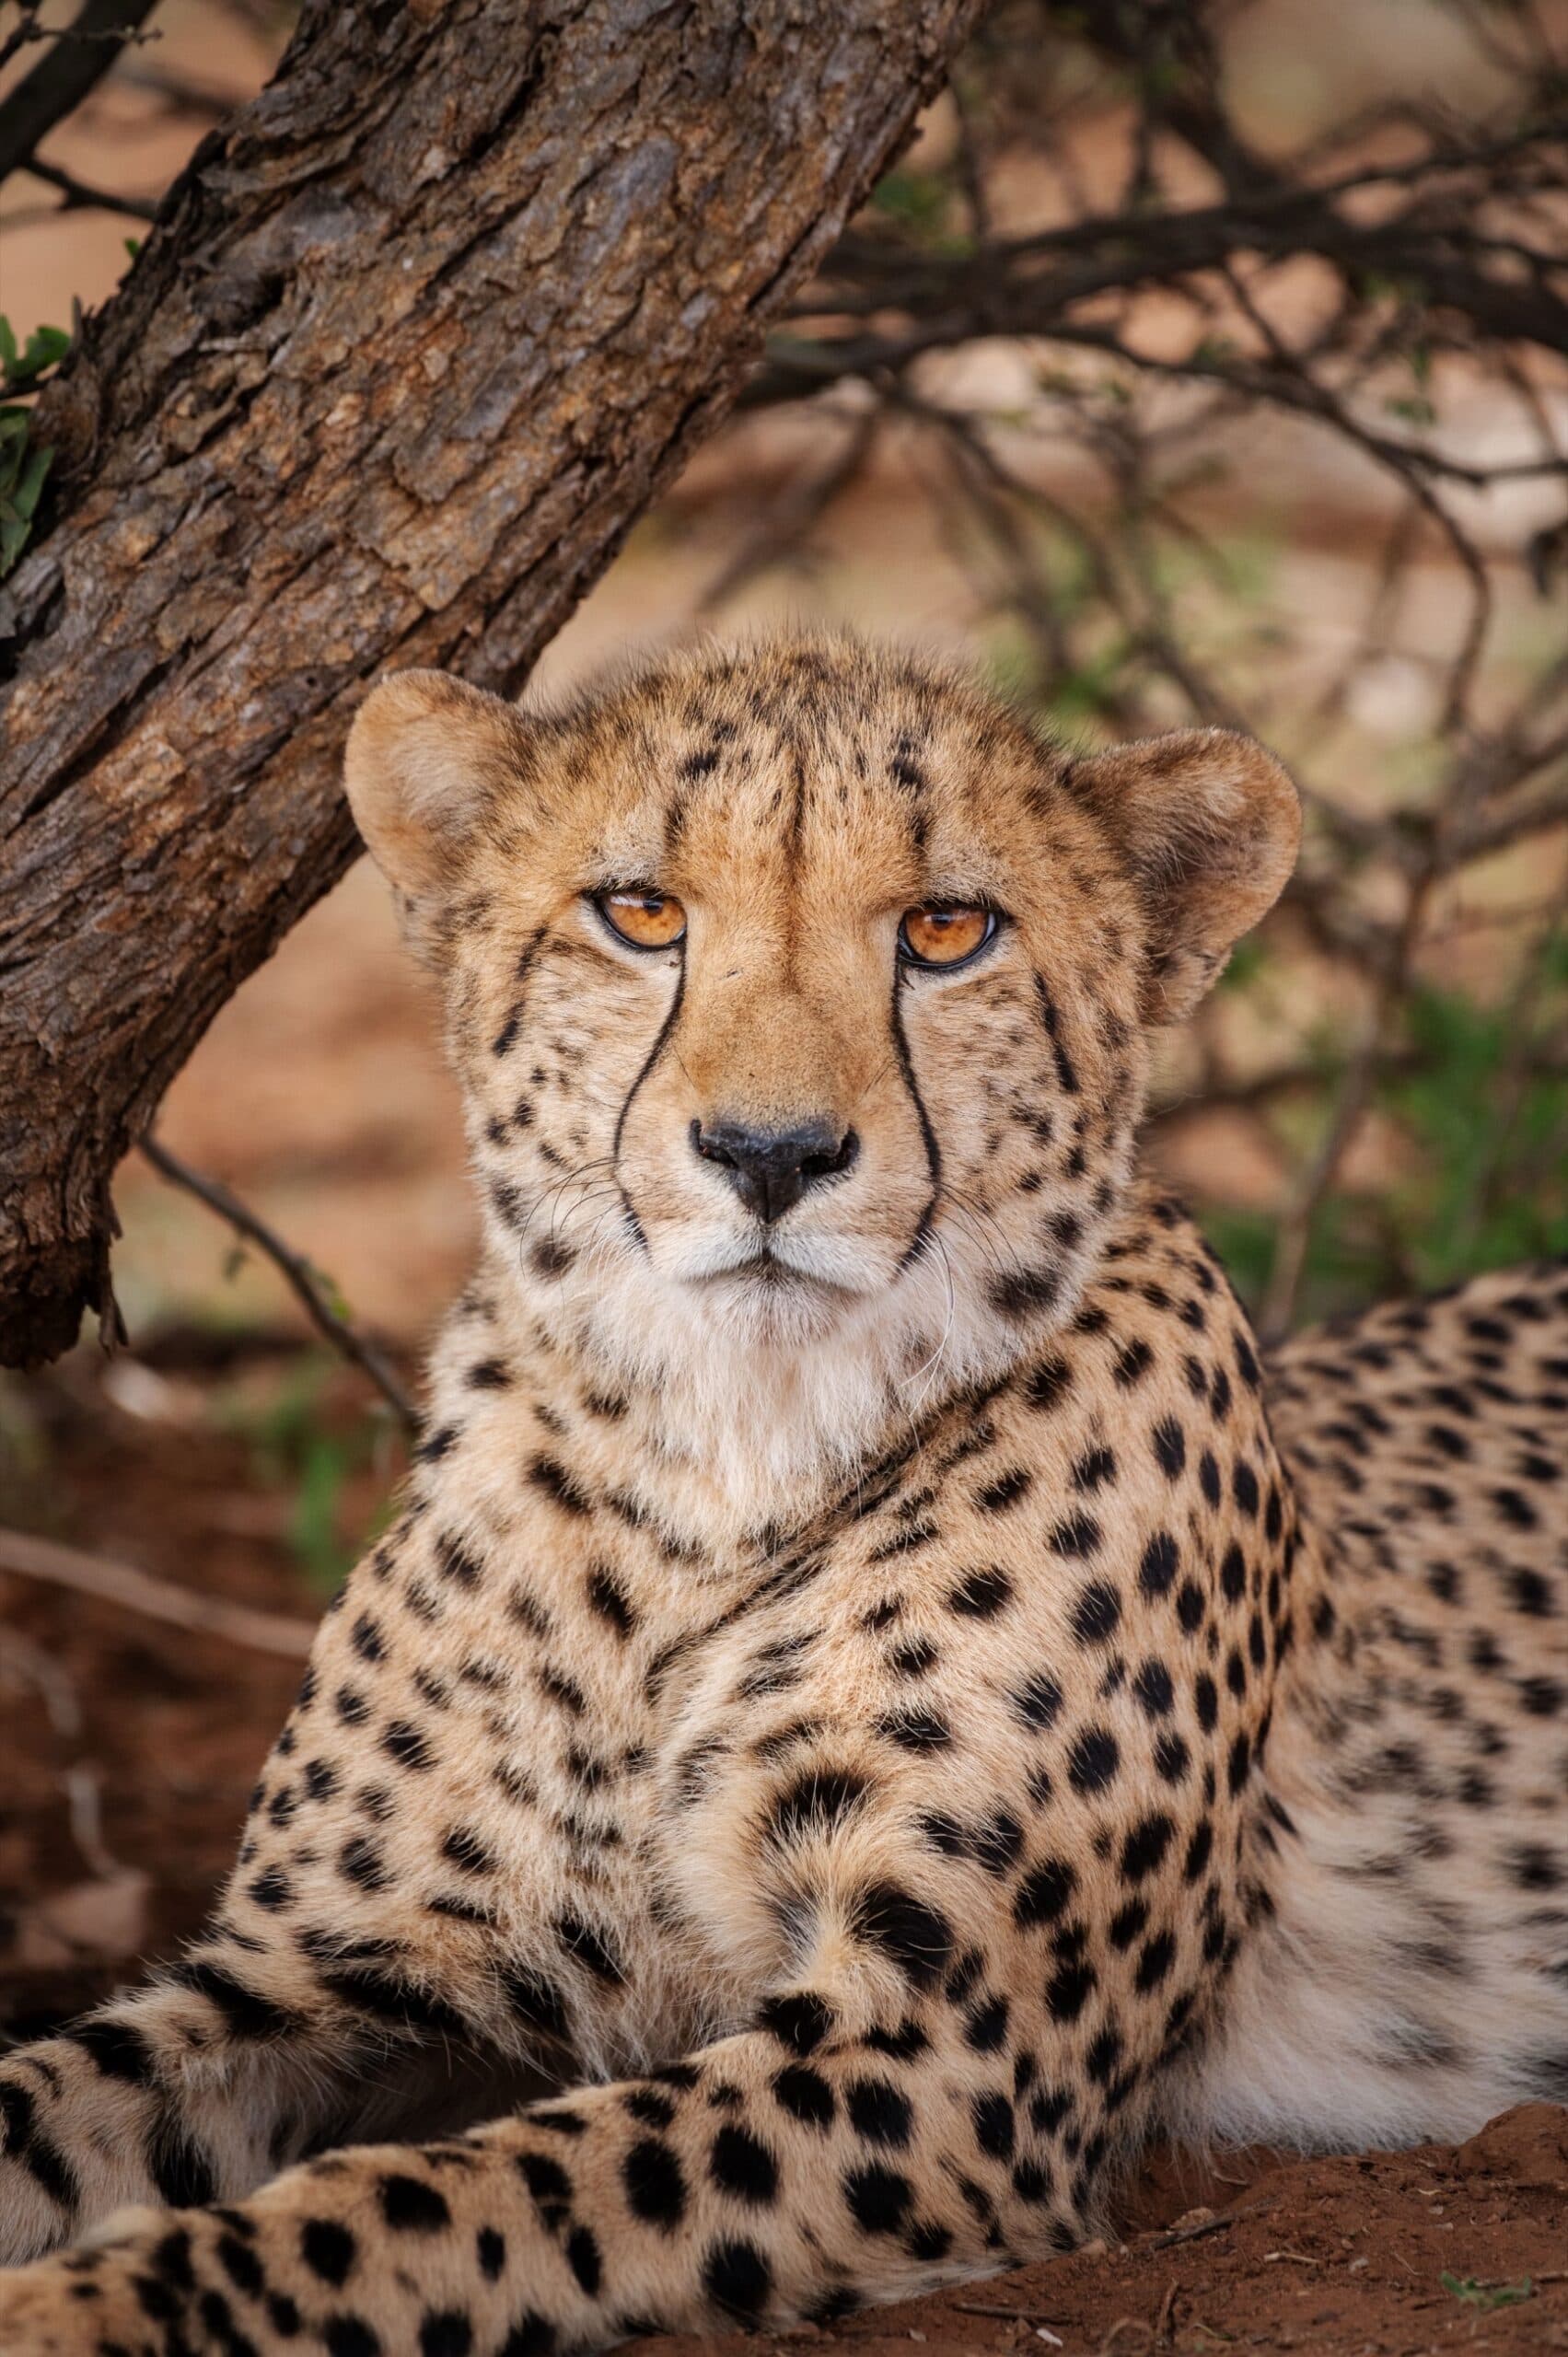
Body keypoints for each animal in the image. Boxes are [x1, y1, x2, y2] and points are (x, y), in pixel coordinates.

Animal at [0, 632, 1563, 2357]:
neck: (720, 1461)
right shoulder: (349, 1970)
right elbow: (57, 2094)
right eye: (639, 911)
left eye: (946, 931)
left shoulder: (935, 2057)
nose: (767, 1153)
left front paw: (78, 2307)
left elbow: (435, 2203)